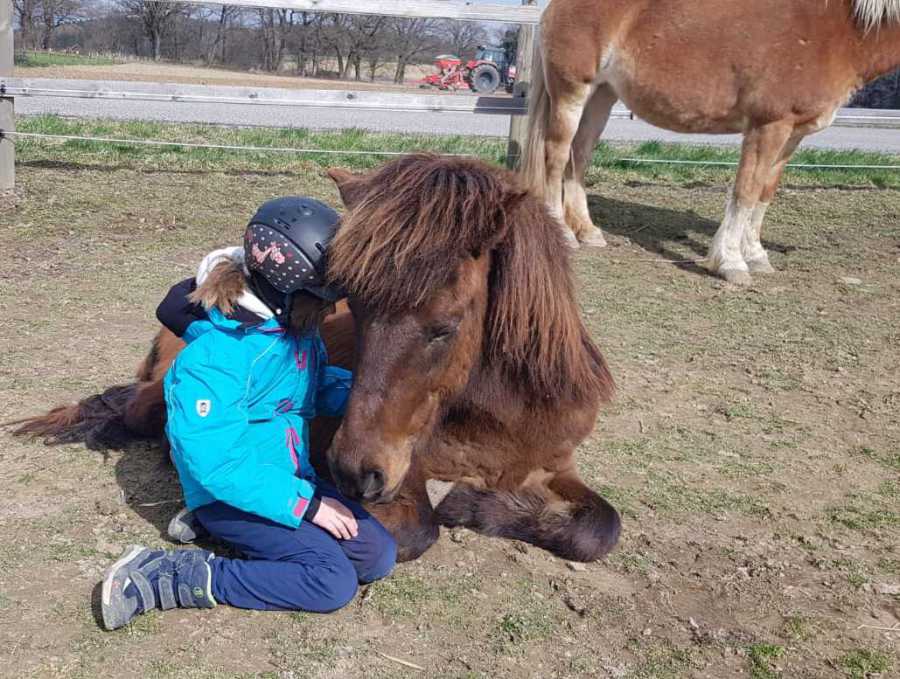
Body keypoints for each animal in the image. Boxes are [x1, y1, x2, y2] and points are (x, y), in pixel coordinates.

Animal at [12, 154, 621, 564]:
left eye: (445, 327)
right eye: (360, 308)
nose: (353, 470)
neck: (495, 417)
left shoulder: (554, 466)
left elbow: (600, 528)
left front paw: (488, 506)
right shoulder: (402, 472)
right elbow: (417, 531)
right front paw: (464, 506)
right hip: (155, 402)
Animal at [521, 0, 900, 285]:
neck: (839, 31)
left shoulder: (792, 134)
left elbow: (764, 194)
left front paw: (756, 255)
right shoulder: (768, 127)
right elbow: (745, 192)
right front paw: (731, 263)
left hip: (602, 95)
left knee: (580, 156)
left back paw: (587, 231)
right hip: (572, 92)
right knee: (556, 156)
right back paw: (564, 233)